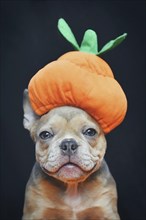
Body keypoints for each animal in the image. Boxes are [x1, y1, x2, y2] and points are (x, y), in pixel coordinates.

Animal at [22, 90, 120, 220]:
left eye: (90, 132)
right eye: (45, 134)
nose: (68, 144)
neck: (72, 185)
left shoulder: (107, 212)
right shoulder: (35, 212)